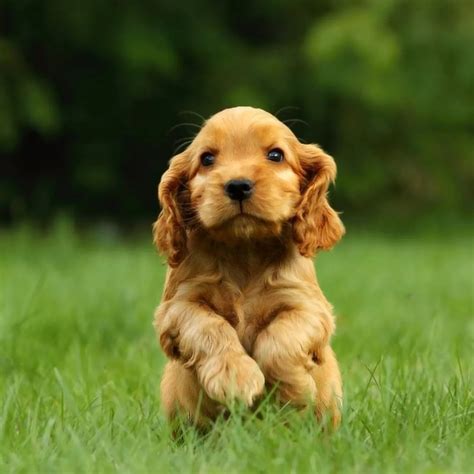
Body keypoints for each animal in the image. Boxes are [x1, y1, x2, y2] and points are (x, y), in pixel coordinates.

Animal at [155, 105, 344, 424]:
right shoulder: (176, 308)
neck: (245, 249)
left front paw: (292, 391)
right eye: (207, 159)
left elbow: (280, 338)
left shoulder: (309, 306)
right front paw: (235, 377)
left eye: (276, 155)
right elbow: (210, 326)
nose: (238, 186)